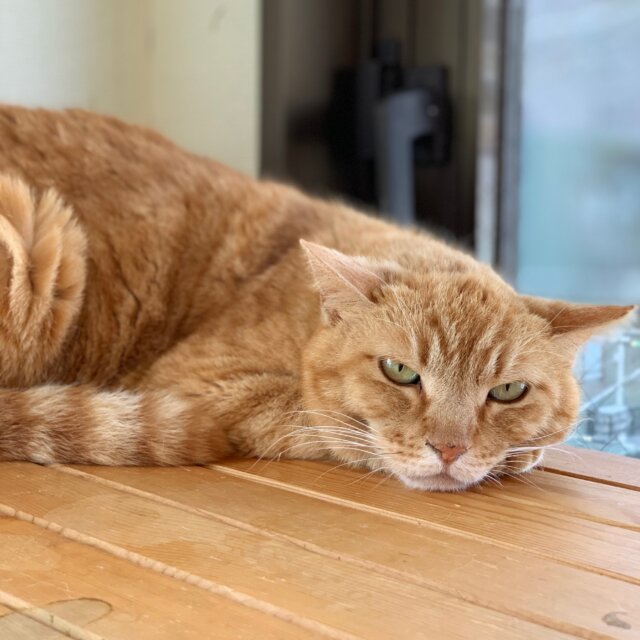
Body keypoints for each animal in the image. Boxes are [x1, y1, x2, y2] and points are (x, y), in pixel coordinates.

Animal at [0, 105, 632, 491]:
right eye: (400, 372)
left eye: (507, 391)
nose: (450, 450)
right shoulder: (202, 386)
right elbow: (327, 423)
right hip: (38, 241)